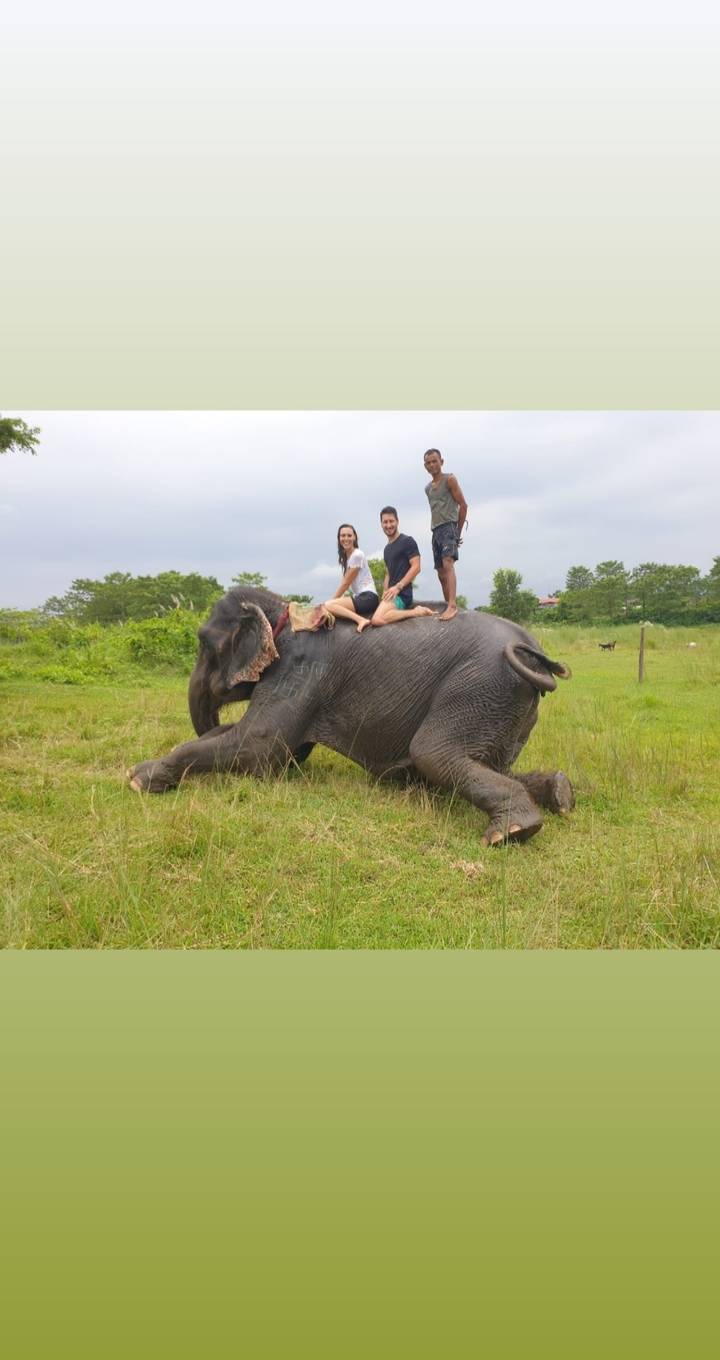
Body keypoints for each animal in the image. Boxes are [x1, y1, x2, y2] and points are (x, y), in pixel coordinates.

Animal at [128, 587, 575, 845]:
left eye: (205, 643)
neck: (280, 611)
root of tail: (534, 650)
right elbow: (278, 750)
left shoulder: (301, 668)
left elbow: (260, 746)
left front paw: (137, 780)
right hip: (503, 703)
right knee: (475, 764)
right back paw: (559, 792)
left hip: (479, 685)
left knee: (434, 753)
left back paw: (512, 832)